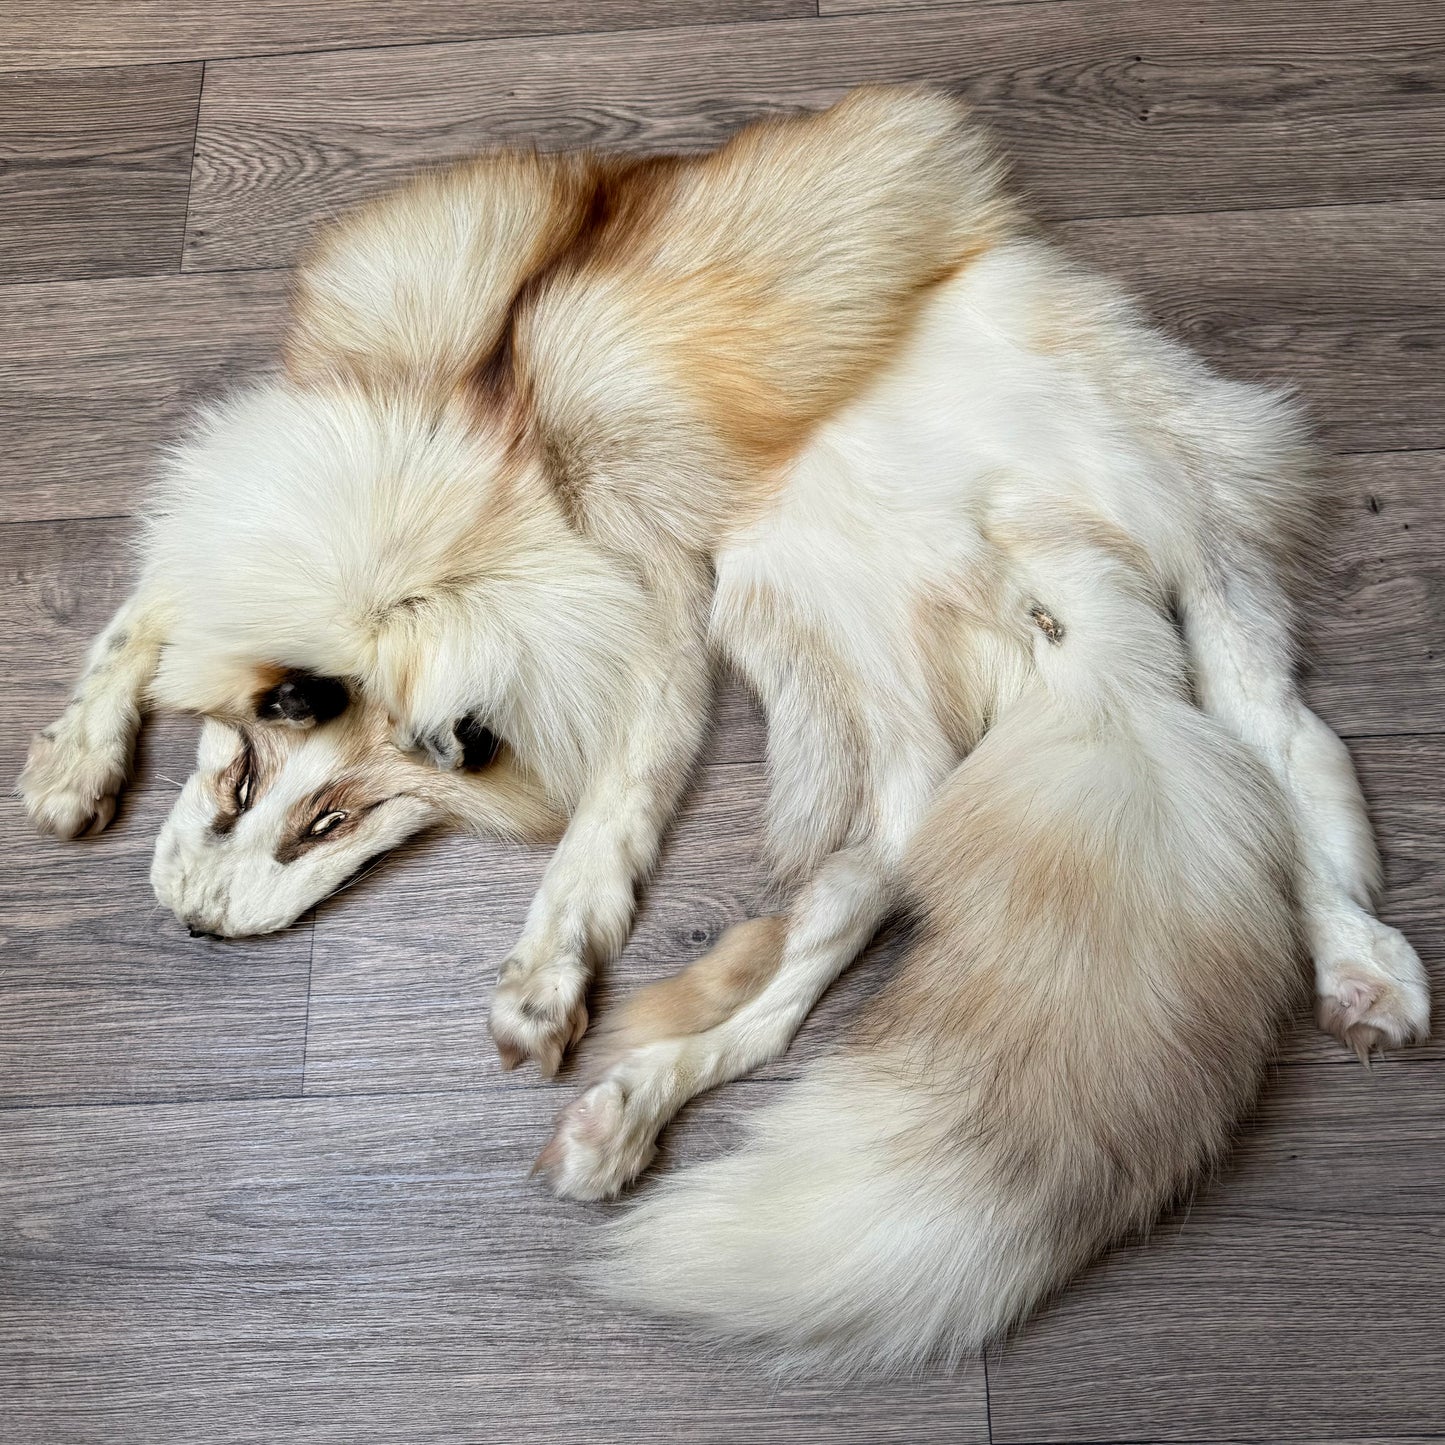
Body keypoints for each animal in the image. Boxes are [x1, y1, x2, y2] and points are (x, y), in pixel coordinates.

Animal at [17, 86, 1429, 1373]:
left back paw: (1361, 960)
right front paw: (76, 758)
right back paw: (631, 1110)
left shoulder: (644, 629)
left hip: (1143, 559)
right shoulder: (276, 503)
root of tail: (1061, 624)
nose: (197, 927)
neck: (481, 462)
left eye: (331, 819)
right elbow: (141, 609)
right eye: (240, 775)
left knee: (1282, 756)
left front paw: (545, 976)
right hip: (876, 697)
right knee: (844, 940)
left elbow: (601, 829)